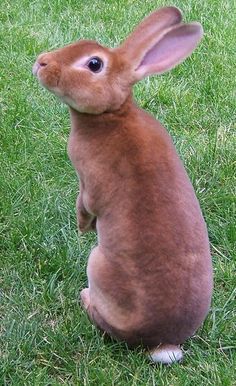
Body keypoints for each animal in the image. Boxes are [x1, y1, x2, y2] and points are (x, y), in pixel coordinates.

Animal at [33, 4, 214, 364]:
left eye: (94, 64)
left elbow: (87, 204)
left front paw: (82, 227)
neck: (111, 114)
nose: (42, 62)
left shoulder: (90, 183)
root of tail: (162, 344)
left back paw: (85, 297)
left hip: (97, 264)